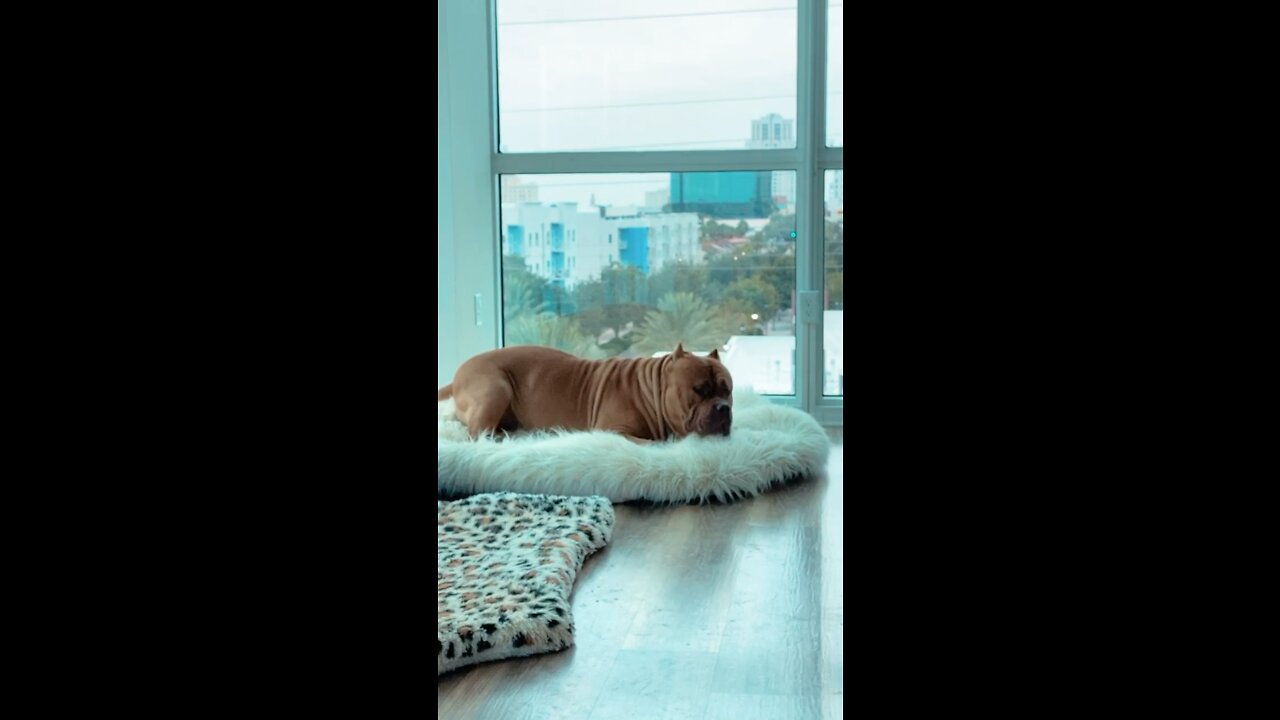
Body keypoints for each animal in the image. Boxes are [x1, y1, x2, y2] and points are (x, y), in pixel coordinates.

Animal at [437, 340, 732, 438]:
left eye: (727, 390)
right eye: (700, 389)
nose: (723, 408)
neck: (652, 391)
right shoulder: (614, 432)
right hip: (496, 388)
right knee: (476, 433)